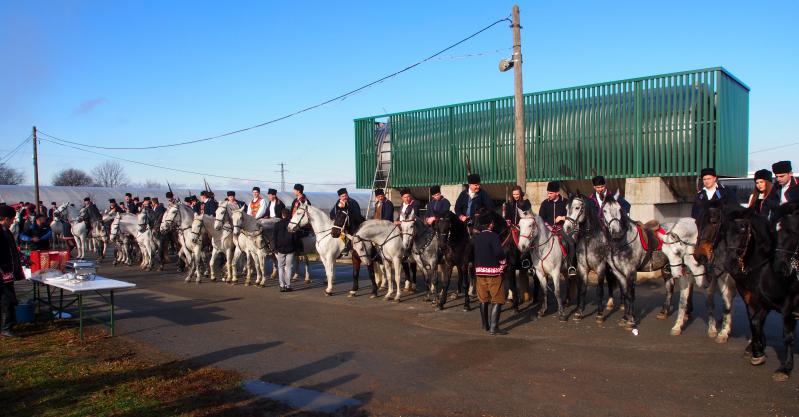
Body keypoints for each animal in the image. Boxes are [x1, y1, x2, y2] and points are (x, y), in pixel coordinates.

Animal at [724, 207, 799, 380]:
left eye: (743, 230)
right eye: (726, 231)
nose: (729, 263)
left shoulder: (788, 306)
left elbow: (788, 336)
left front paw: (785, 368)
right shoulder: (763, 302)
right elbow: (755, 322)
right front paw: (757, 353)